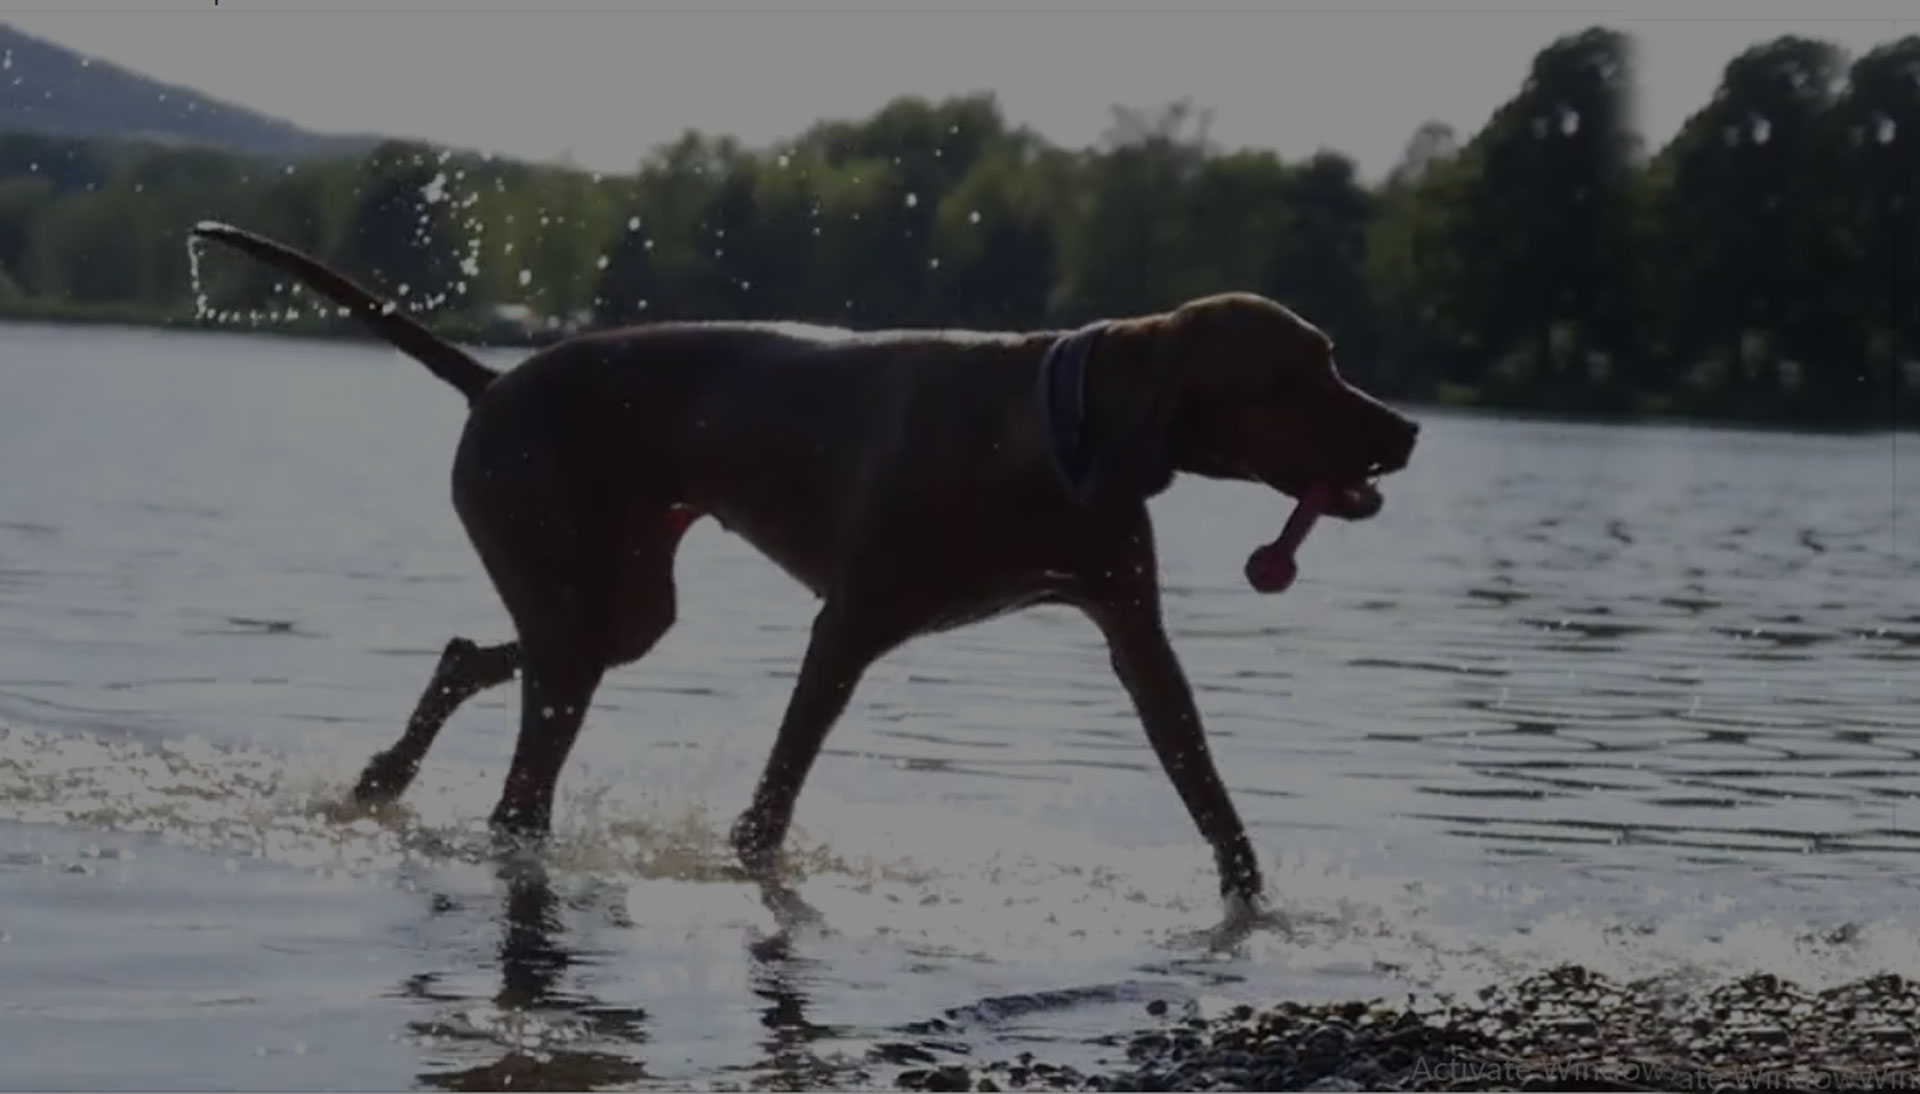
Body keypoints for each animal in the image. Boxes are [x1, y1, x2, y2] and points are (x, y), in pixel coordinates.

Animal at [187, 219, 1420, 902]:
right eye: (1297, 374)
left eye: (1332, 358)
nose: (1407, 431)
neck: (1053, 429)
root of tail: (492, 379)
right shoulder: (850, 626)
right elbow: (773, 799)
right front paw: (754, 863)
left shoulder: (1136, 637)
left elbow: (1203, 783)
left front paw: (1258, 902)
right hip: (577, 604)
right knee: (519, 786)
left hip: (614, 607)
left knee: (472, 654)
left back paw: (385, 774)